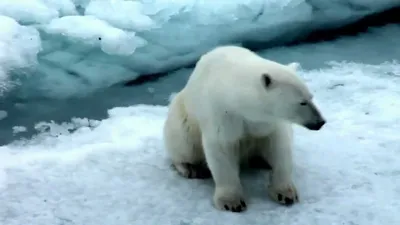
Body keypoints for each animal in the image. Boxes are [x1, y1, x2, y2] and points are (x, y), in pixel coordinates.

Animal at [162, 45, 324, 213]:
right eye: (302, 102)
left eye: (311, 97)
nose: (320, 122)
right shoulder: (221, 114)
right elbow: (222, 149)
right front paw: (231, 202)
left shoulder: (268, 121)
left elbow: (279, 145)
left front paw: (285, 193)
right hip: (182, 117)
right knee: (184, 143)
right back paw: (191, 168)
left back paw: (262, 161)